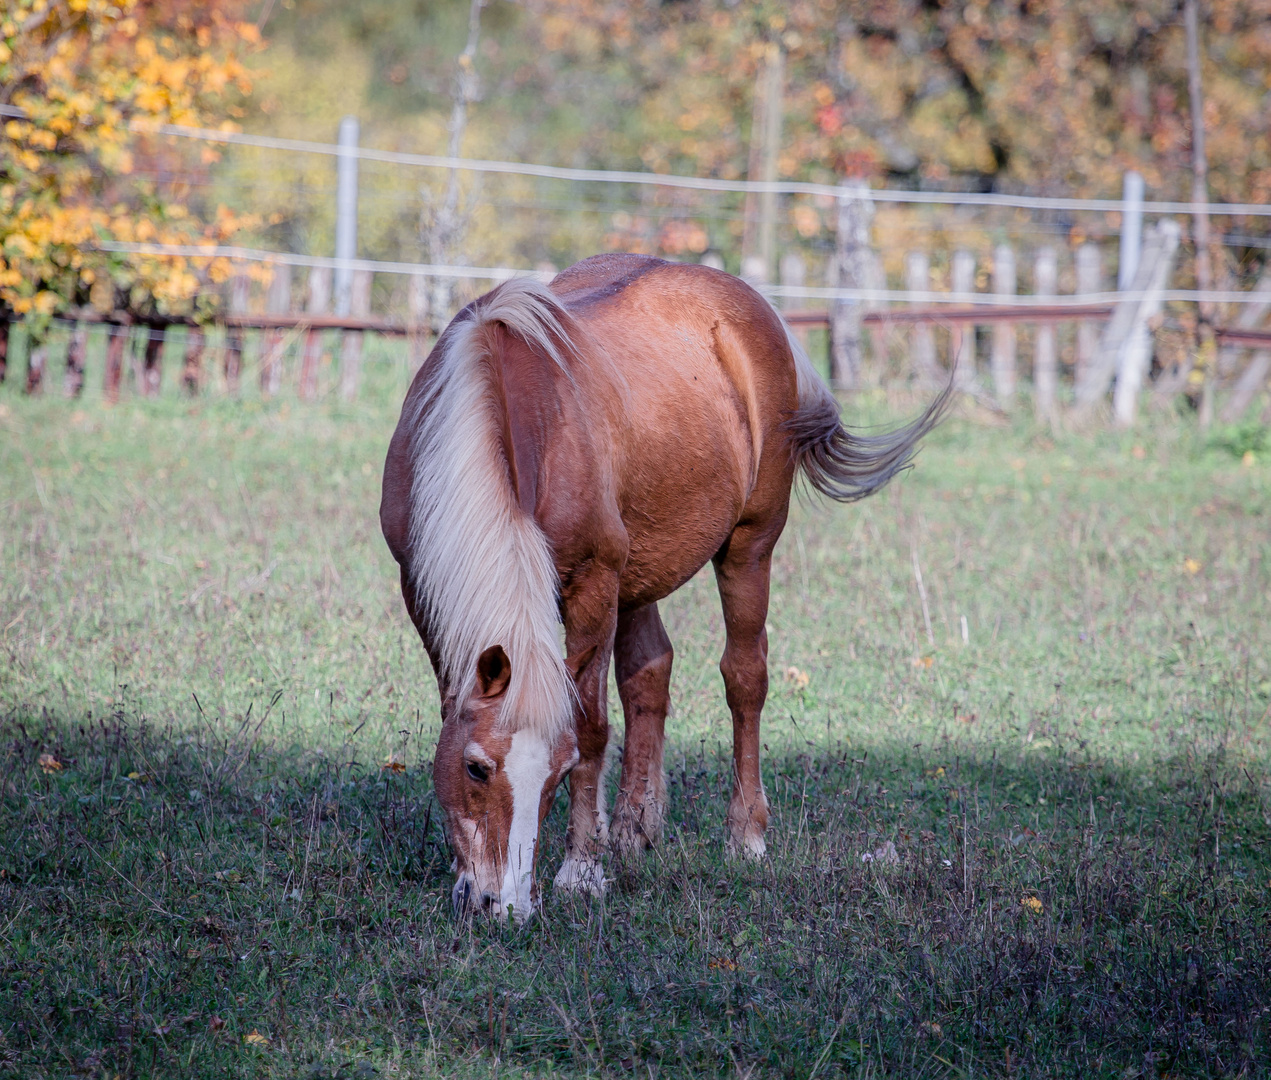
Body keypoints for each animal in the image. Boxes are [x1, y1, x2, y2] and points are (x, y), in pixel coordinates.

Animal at [376, 252, 945, 919]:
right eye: (475, 769)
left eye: (557, 773)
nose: (505, 905)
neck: (515, 413)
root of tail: (756, 309)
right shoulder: (422, 590)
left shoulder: (594, 585)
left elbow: (593, 727)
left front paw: (581, 869)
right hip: (638, 575)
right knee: (650, 671)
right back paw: (633, 827)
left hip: (748, 545)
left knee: (745, 678)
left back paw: (745, 835)